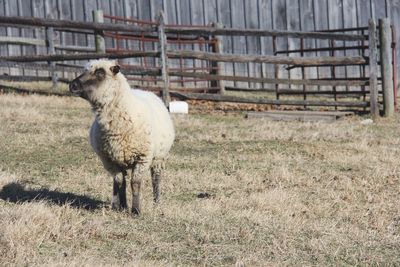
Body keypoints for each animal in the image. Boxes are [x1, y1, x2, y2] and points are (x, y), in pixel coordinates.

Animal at [69, 60, 175, 216]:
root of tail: (145, 91)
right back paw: (116, 204)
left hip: (158, 158)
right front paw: (123, 206)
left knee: (156, 178)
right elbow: (120, 182)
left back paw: (157, 202)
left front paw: (136, 210)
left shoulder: (142, 158)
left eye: (100, 73)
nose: (72, 85)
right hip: (119, 158)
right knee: (117, 180)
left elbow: (135, 183)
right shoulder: (109, 160)